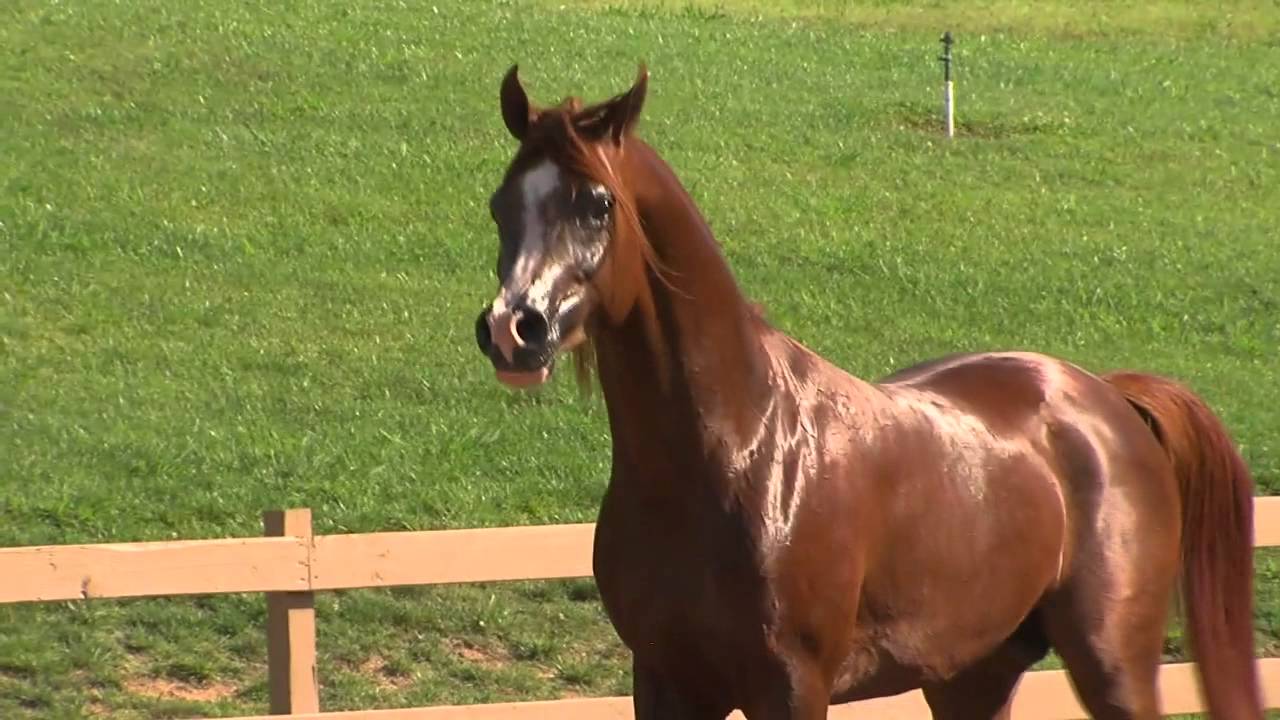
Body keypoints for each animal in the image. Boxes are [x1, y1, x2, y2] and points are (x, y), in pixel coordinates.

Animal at [471, 64, 1263, 719]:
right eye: (500, 204)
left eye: (597, 203)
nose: (513, 329)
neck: (736, 451)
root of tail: (1107, 398)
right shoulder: (666, 683)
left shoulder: (791, 689)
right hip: (971, 678)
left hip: (1112, 666)